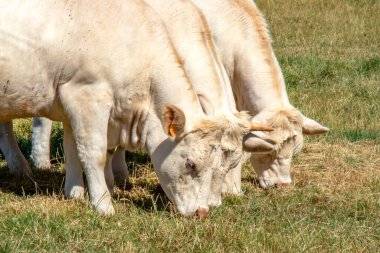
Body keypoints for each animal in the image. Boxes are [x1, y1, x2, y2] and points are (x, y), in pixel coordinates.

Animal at [0, 0, 255, 215]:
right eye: (190, 163)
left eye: (217, 164)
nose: (202, 212)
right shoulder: (87, 96)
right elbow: (94, 153)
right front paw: (103, 205)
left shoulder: (71, 105)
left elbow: (73, 150)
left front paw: (75, 194)